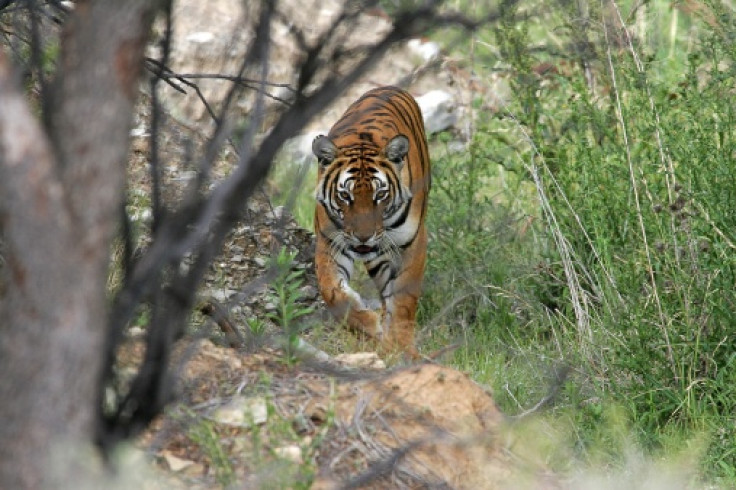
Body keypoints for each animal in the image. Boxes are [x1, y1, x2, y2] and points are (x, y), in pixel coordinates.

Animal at [312, 86, 432, 358]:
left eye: (380, 195)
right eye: (345, 196)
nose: (363, 237)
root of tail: (387, 87)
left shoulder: (412, 244)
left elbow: (404, 302)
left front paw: (404, 350)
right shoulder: (329, 243)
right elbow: (332, 292)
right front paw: (369, 325)